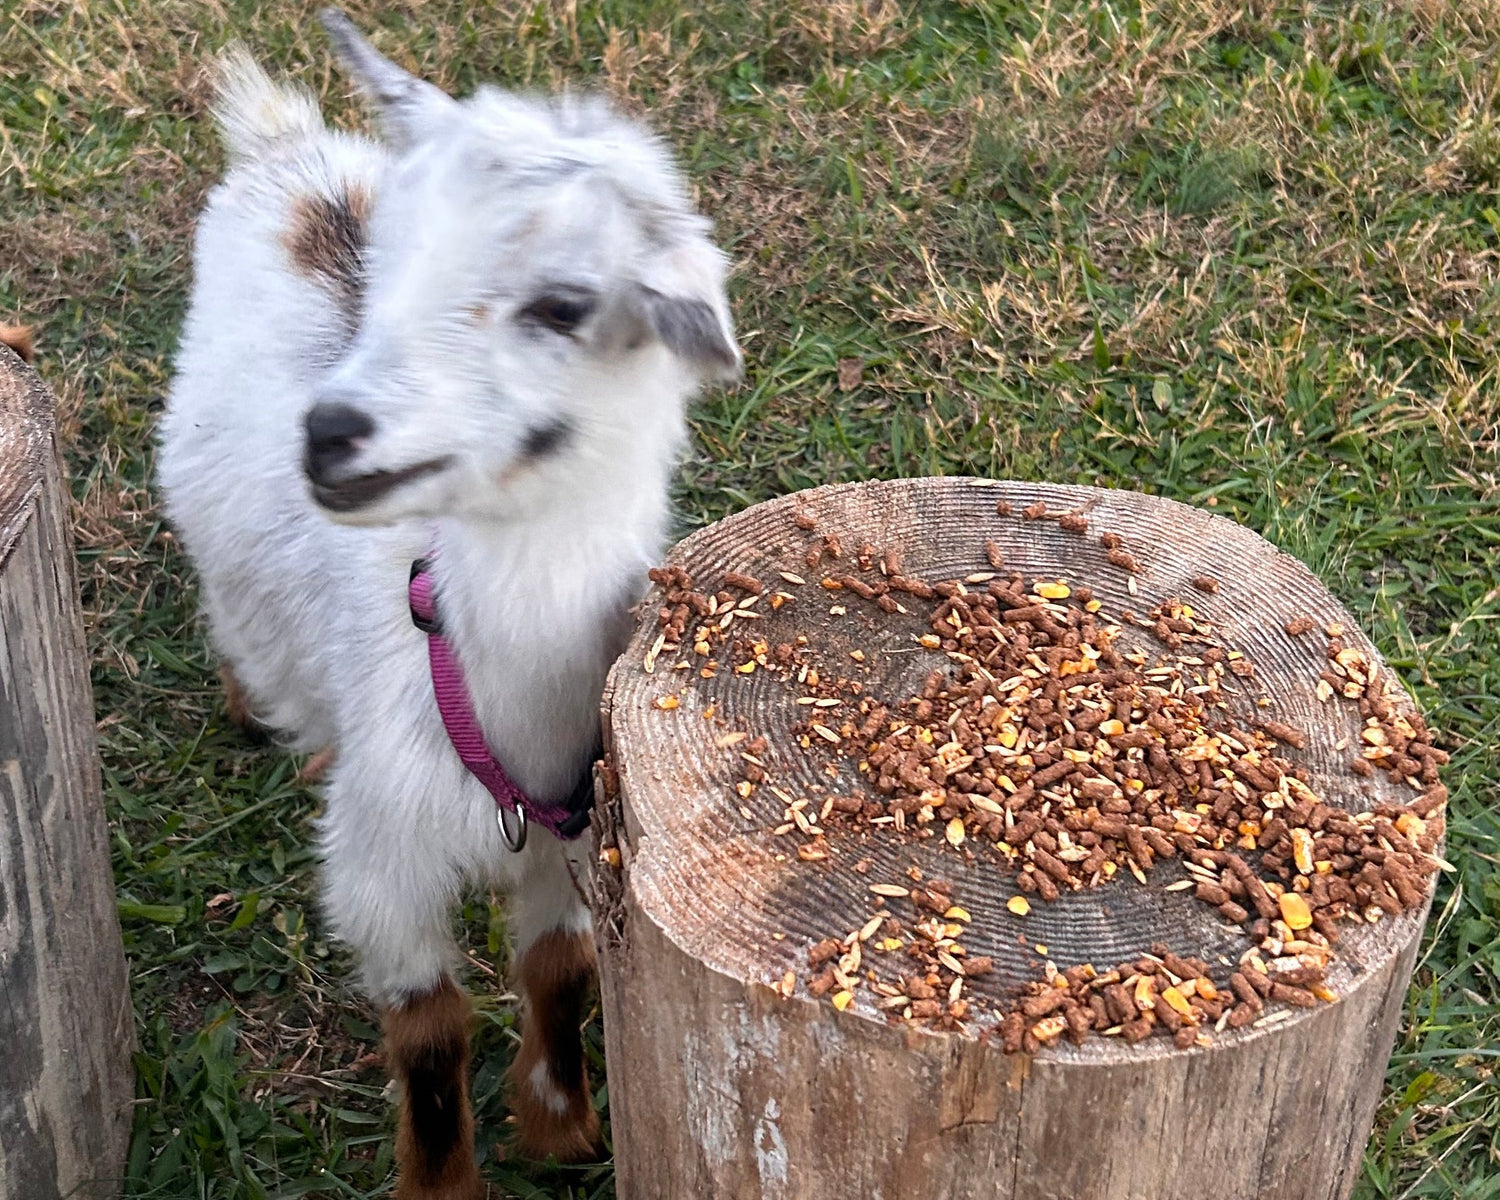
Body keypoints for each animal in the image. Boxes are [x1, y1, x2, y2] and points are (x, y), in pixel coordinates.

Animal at [157, 12, 739, 1196]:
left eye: (563, 305)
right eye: (390, 269)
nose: (329, 434)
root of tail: (288, 150)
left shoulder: (576, 838)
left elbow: (557, 967)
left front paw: (561, 1126)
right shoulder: (383, 861)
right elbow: (428, 1029)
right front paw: (444, 1180)